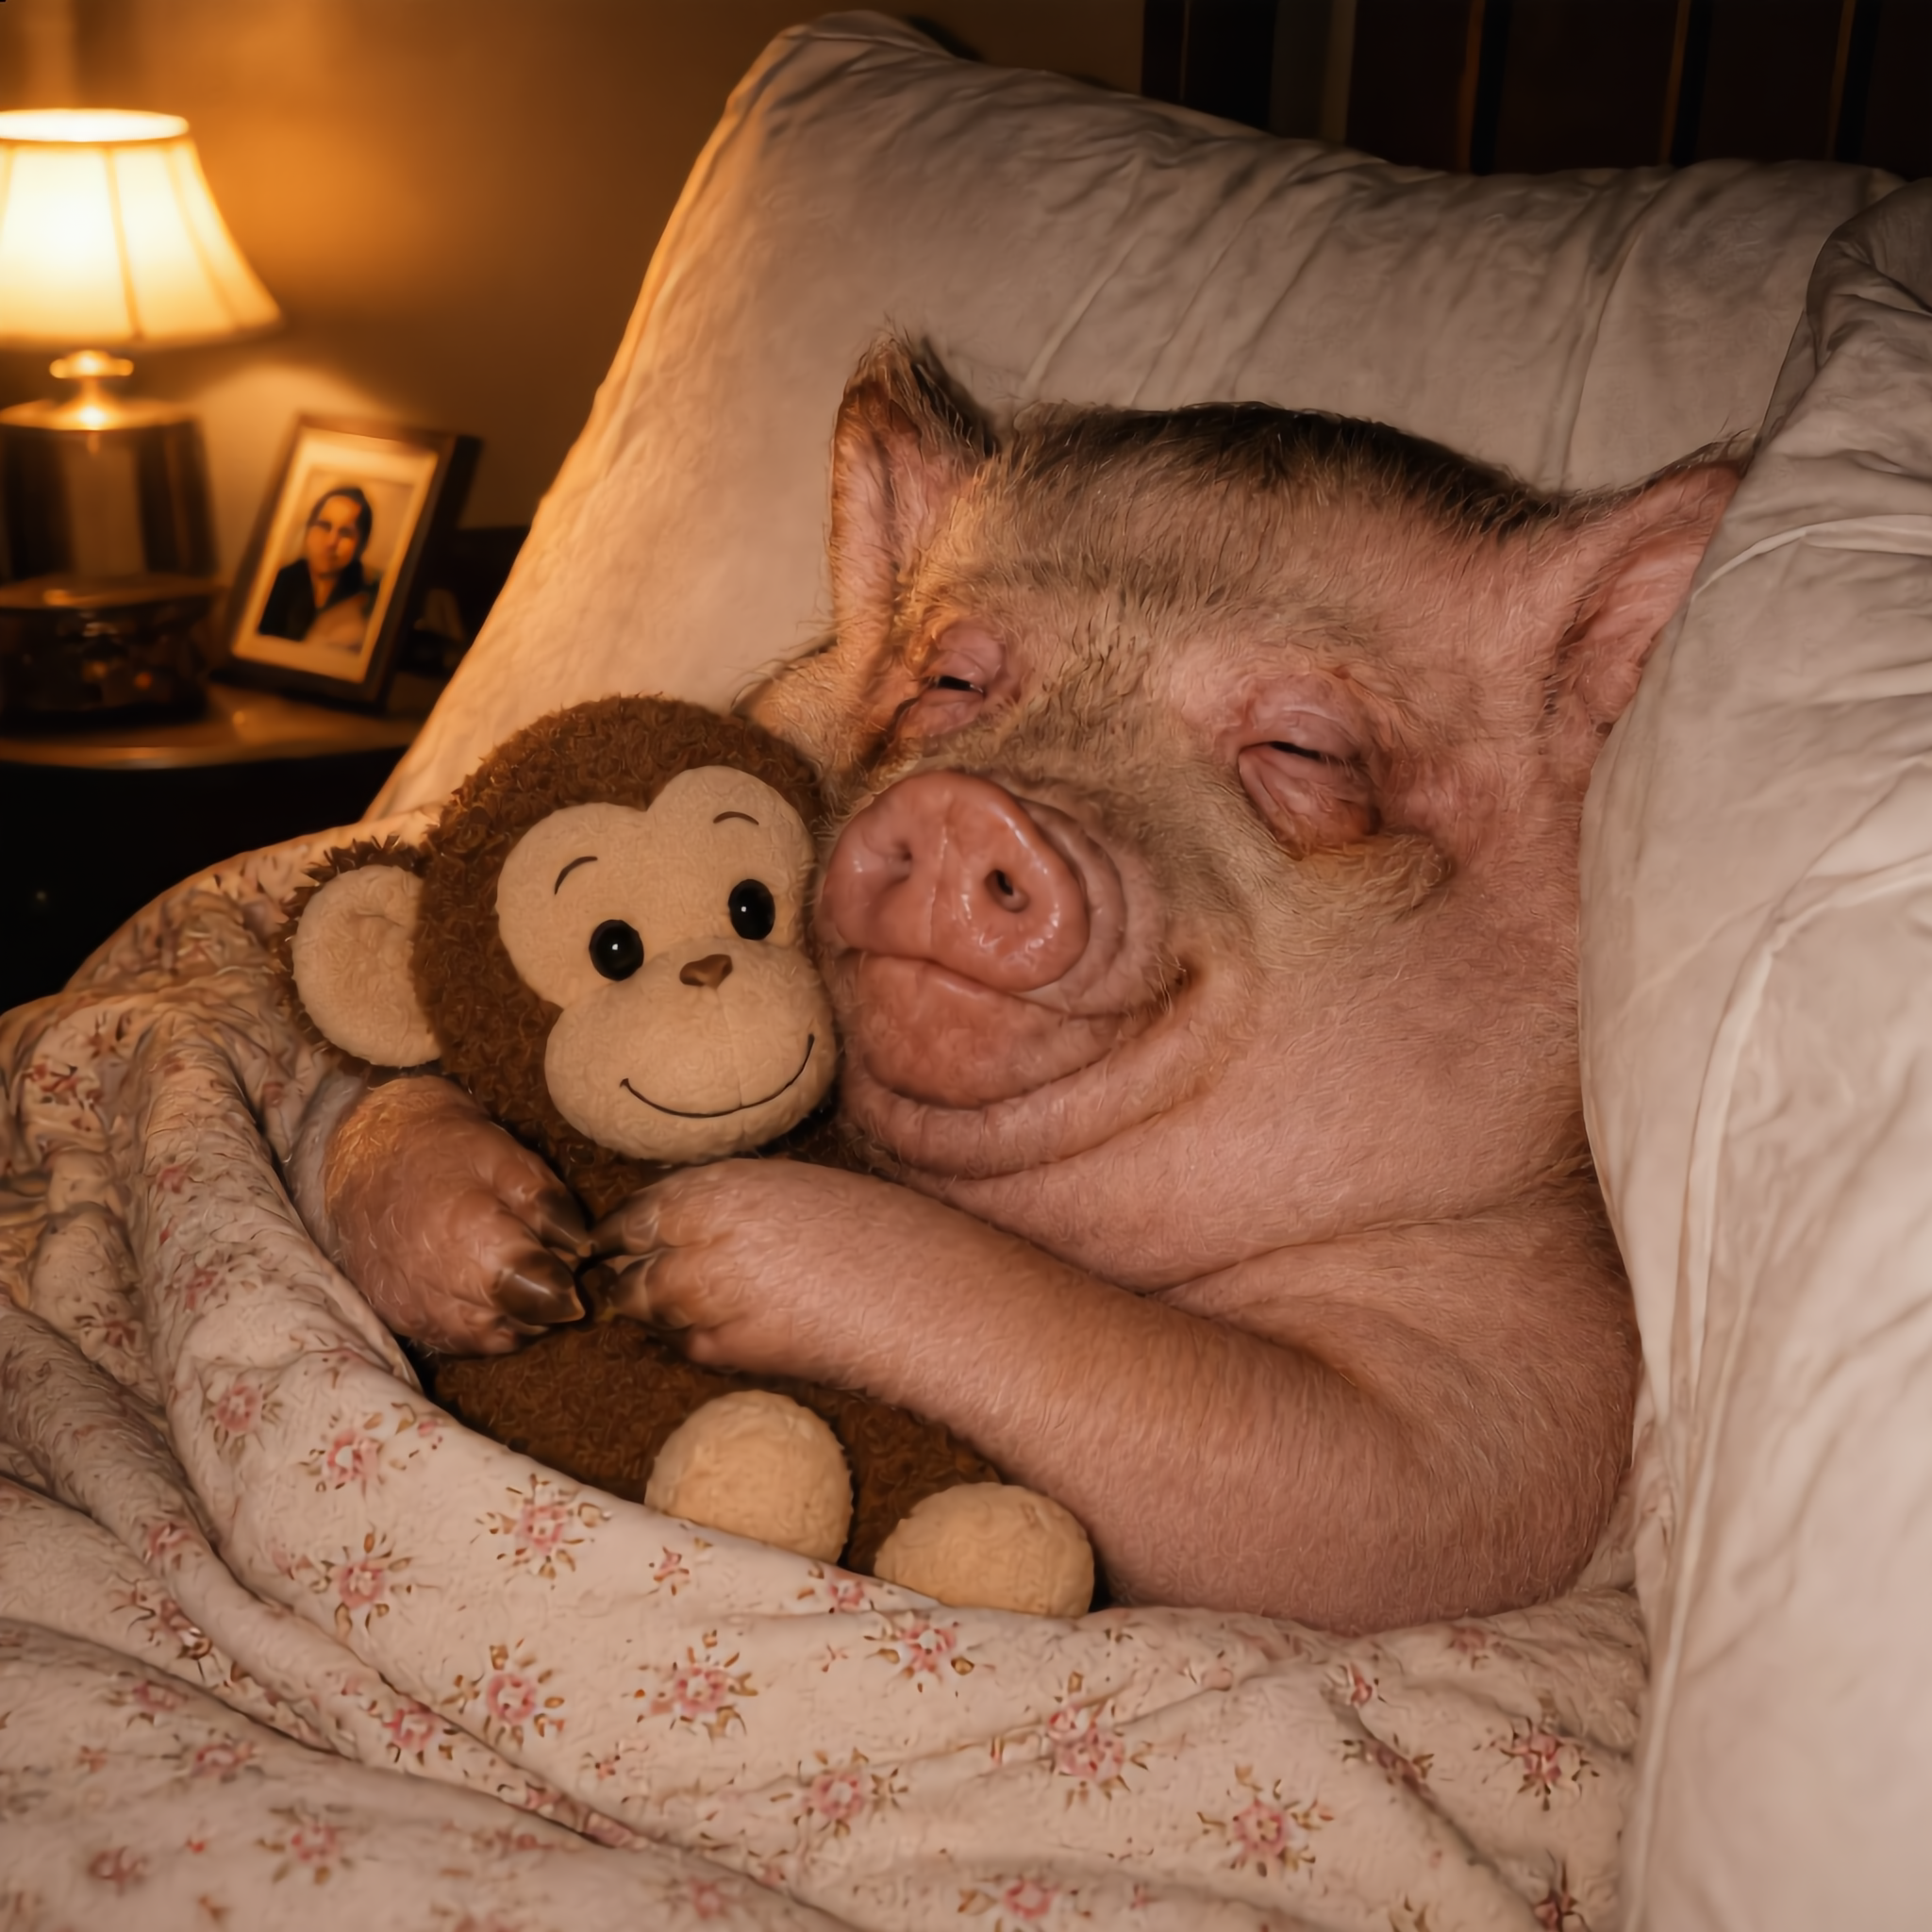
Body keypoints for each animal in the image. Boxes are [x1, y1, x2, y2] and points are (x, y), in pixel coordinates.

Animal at [299, 339, 1737, 1633]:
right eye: (950, 677)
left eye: (1307, 752)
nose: (962, 813)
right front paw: (531, 1266)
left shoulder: (1507, 1418)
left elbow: (1303, 1482)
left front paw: (651, 1253)